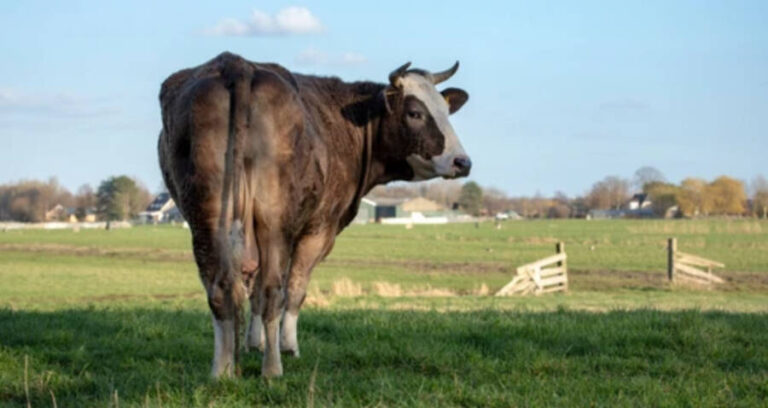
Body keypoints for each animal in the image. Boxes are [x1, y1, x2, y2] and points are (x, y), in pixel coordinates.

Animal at [158, 52, 471, 378]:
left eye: (446, 112)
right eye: (414, 113)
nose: (462, 162)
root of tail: (236, 64)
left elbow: (253, 292)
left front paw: (253, 343)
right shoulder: (319, 228)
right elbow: (295, 289)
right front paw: (288, 346)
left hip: (206, 218)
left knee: (220, 290)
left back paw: (222, 371)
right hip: (274, 221)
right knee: (274, 291)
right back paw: (273, 369)